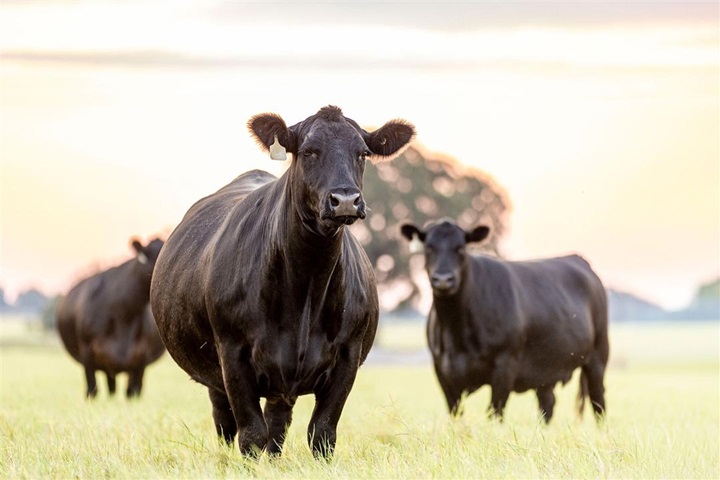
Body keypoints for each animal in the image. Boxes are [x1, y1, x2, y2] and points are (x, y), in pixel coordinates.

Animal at [56, 238, 165, 399]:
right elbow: (92, 390)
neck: (124, 315)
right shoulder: (87, 352)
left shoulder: (141, 358)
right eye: (153, 254)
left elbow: (133, 392)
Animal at [150, 106, 415, 459]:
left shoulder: (348, 355)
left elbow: (322, 433)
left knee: (277, 424)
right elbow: (250, 435)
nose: (345, 199)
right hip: (216, 374)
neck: (307, 286)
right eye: (309, 151)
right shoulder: (232, 354)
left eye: (363, 153)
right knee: (226, 423)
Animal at [400, 218, 608, 423]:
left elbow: (495, 412)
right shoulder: (443, 372)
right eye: (429, 247)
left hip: (598, 357)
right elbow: (456, 414)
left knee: (598, 402)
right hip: (545, 372)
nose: (443, 280)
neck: (456, 332)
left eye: (461, 248)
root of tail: (576, 259)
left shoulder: (505, 367)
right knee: (547, 404)